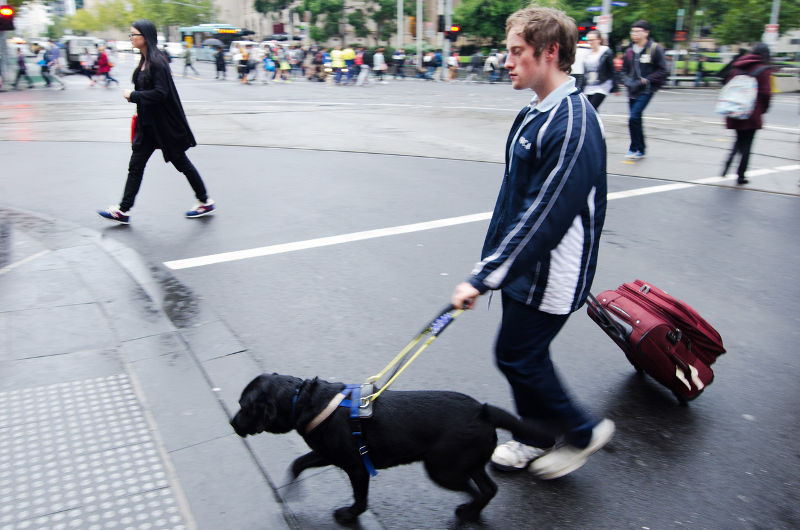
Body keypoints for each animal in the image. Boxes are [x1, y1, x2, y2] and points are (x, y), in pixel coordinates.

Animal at [230, 374, 552, 520]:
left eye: (244, 406)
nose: (232, 423)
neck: (306, 401)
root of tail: (483, 411)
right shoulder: (327, 454)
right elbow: (297, 463)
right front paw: (289, 492)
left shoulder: (356, 467)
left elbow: (360, 498)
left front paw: (350, 515)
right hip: (465, 463)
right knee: (488, 488)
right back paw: (472, 512)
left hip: (442, 469)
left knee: (477, 490)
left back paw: (466, 510)